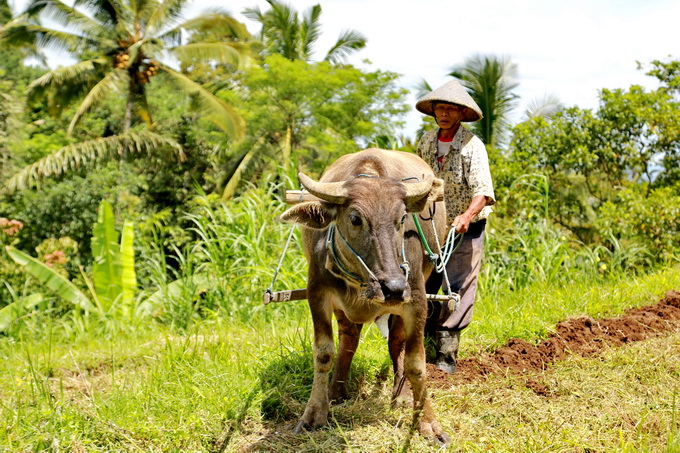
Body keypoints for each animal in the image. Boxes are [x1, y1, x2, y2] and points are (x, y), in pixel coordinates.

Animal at [278, 147, 448, 442]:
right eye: (356, 219)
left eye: (401, 219)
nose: (393, 287)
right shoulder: (317, 295)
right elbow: (323, 354)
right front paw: (315, 412)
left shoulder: (416, 300)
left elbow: (417, 363)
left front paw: (428, 422)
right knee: (349, 338)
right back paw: (335, 392)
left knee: (396, 344)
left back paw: (401, 396)